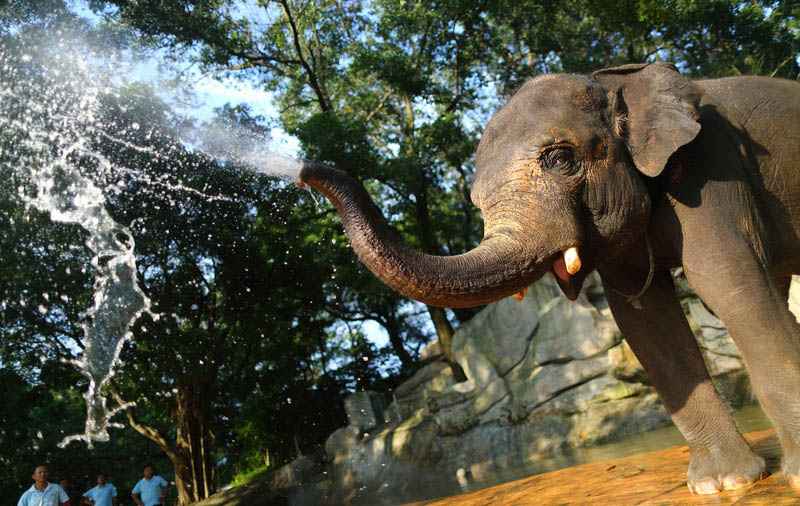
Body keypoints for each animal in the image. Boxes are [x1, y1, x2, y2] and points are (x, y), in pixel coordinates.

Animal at [296, 62, 800, 494]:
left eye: (559, 158)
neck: (615, 80)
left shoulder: (712, 165)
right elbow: (643, 318)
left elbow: (727, 278)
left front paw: (766, 480)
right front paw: (722, 483)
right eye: (474, 200)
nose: (302, 168)